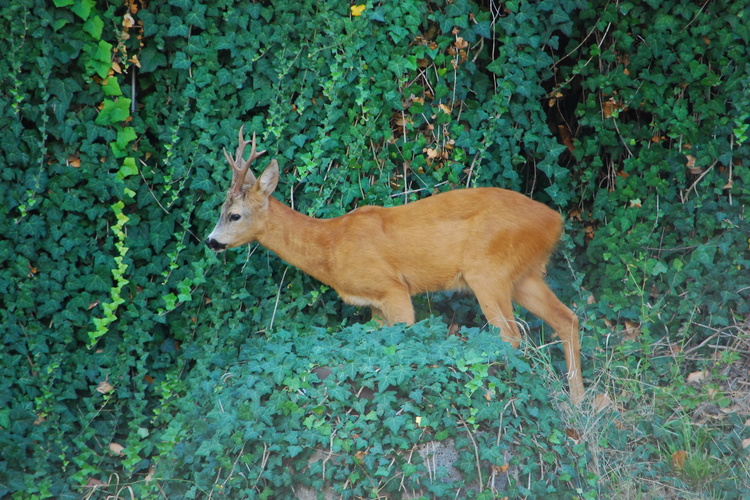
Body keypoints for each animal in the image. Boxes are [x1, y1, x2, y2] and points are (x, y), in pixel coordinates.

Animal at [207, 127, 588, 404]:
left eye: (234, 214)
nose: (211, 241)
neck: (331, 246)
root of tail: (554, 220)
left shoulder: (392, 288)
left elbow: (403, 341)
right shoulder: (373, 305)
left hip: (488, 271)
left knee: (511, 335)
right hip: (524, 274)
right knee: (566, 319)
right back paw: (578, 402)